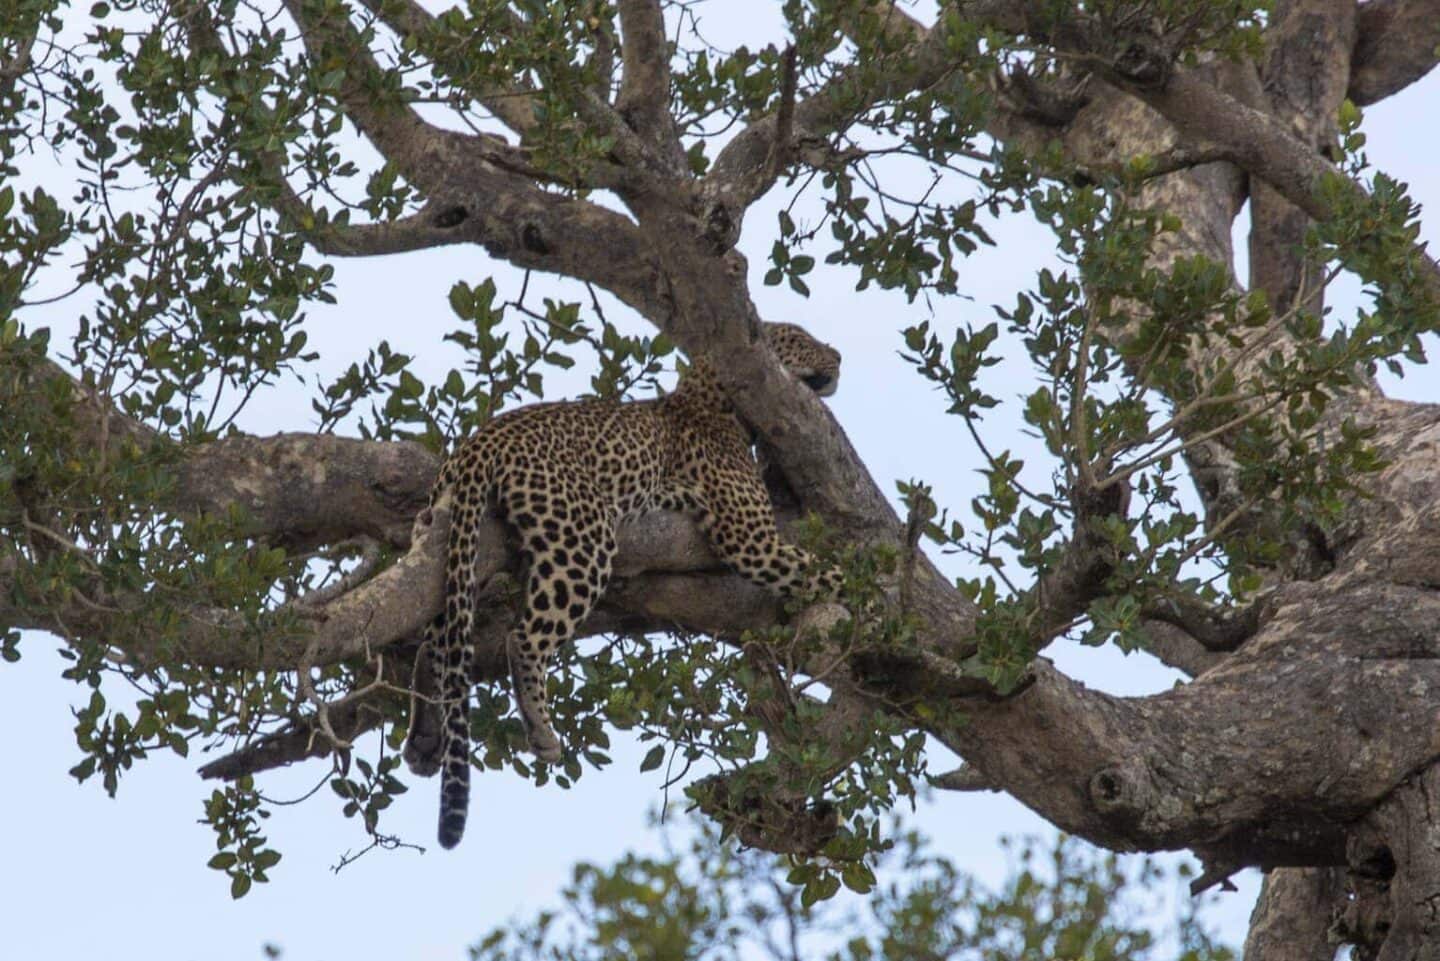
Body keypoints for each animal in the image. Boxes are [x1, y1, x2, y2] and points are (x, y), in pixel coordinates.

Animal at [400, 322, 840, 847]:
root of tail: (481, 439)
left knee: (440, 637)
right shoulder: (751, 538)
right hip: (582, 537)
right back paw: (541, 730)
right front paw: (870, 600)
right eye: (799, 337)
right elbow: (827, 571)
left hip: (458, 542)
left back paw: (426, 736)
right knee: (522, 636)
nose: (839, 355)